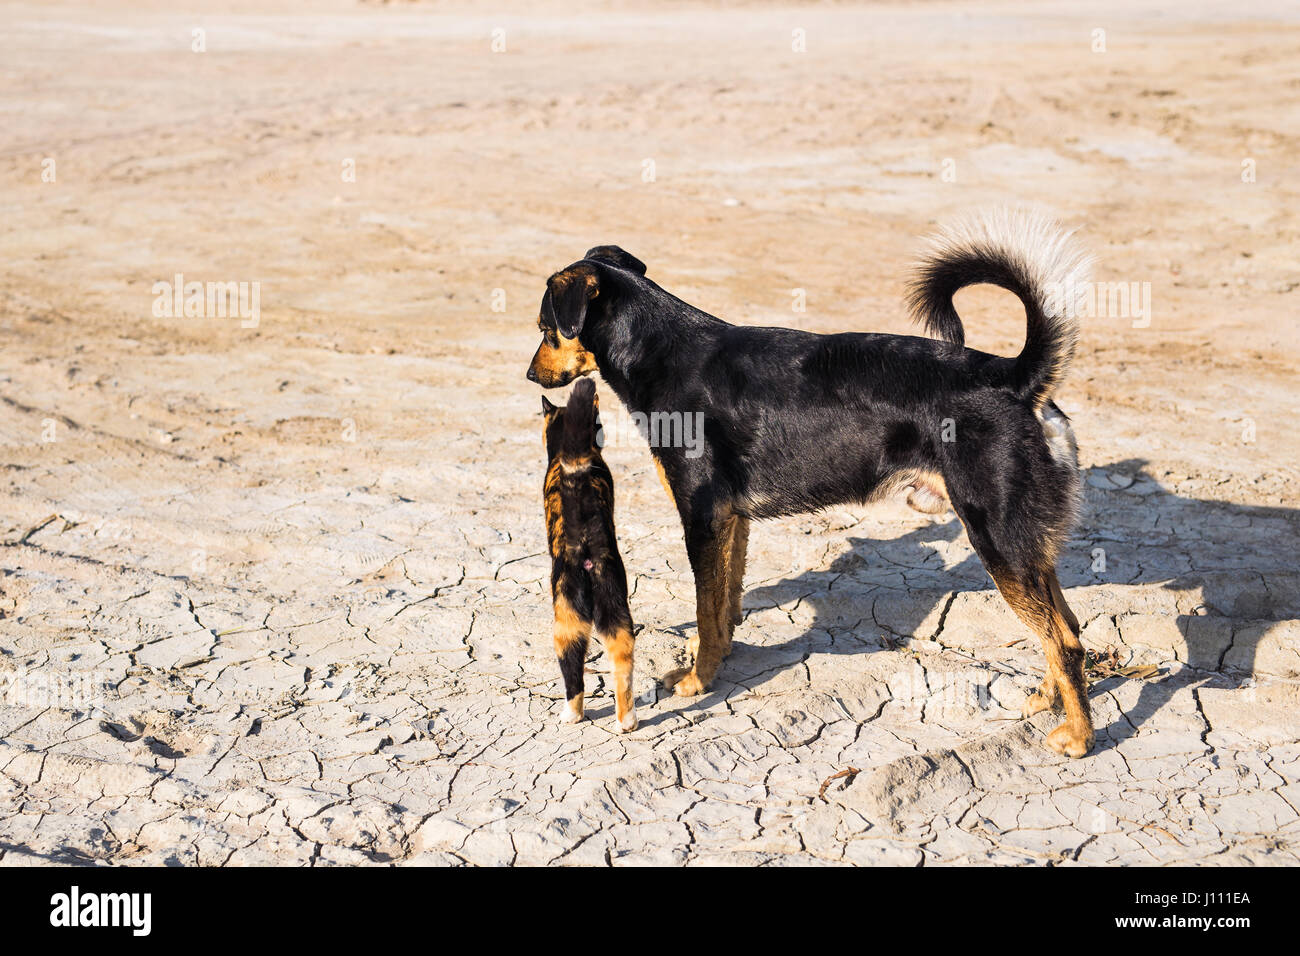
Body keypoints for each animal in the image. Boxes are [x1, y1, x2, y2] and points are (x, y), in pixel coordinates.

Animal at [540, 374, 637, 733]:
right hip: (614, 602)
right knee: (622, 660)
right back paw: (627, 721)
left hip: (565, 612)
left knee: (573, 672)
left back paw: (571, 714)